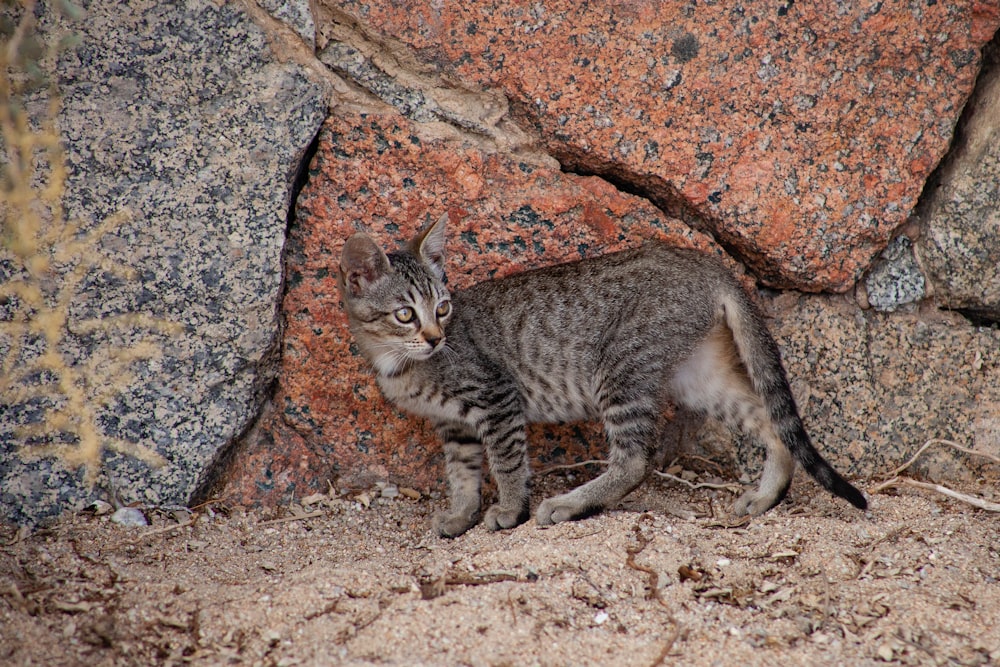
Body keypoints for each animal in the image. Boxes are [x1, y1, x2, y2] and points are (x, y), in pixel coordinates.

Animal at [338, 217, 868, 540]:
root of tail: (702, 260)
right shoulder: (454, 426)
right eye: (406, 313)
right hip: (700, 375)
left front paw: (509, 510)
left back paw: (569, 504)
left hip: (620, 369)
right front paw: (461, 513)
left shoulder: (496, 398)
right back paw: (765, 495)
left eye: (443, 308)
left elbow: (506, 464)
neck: (400, 365)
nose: (434, 337)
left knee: (635, 460)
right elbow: (463, 475)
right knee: (770, 422)